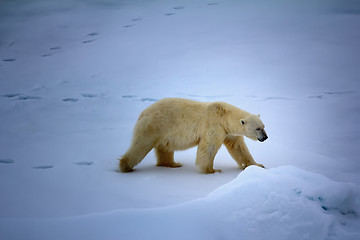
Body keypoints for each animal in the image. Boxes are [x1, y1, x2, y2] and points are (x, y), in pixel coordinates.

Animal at [120, 97, 268, 174]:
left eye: (264, 126)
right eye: (257, 128)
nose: (265, 137)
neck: (224, 114)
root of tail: (143, 113)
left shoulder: (229, 132)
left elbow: (239, 148)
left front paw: (257, 165)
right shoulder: (214, 124)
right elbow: (209, 146)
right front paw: (212, 170)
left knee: (165, 148)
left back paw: (173, 164)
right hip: (154, 125)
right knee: (141, 144)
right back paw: (125, 166)